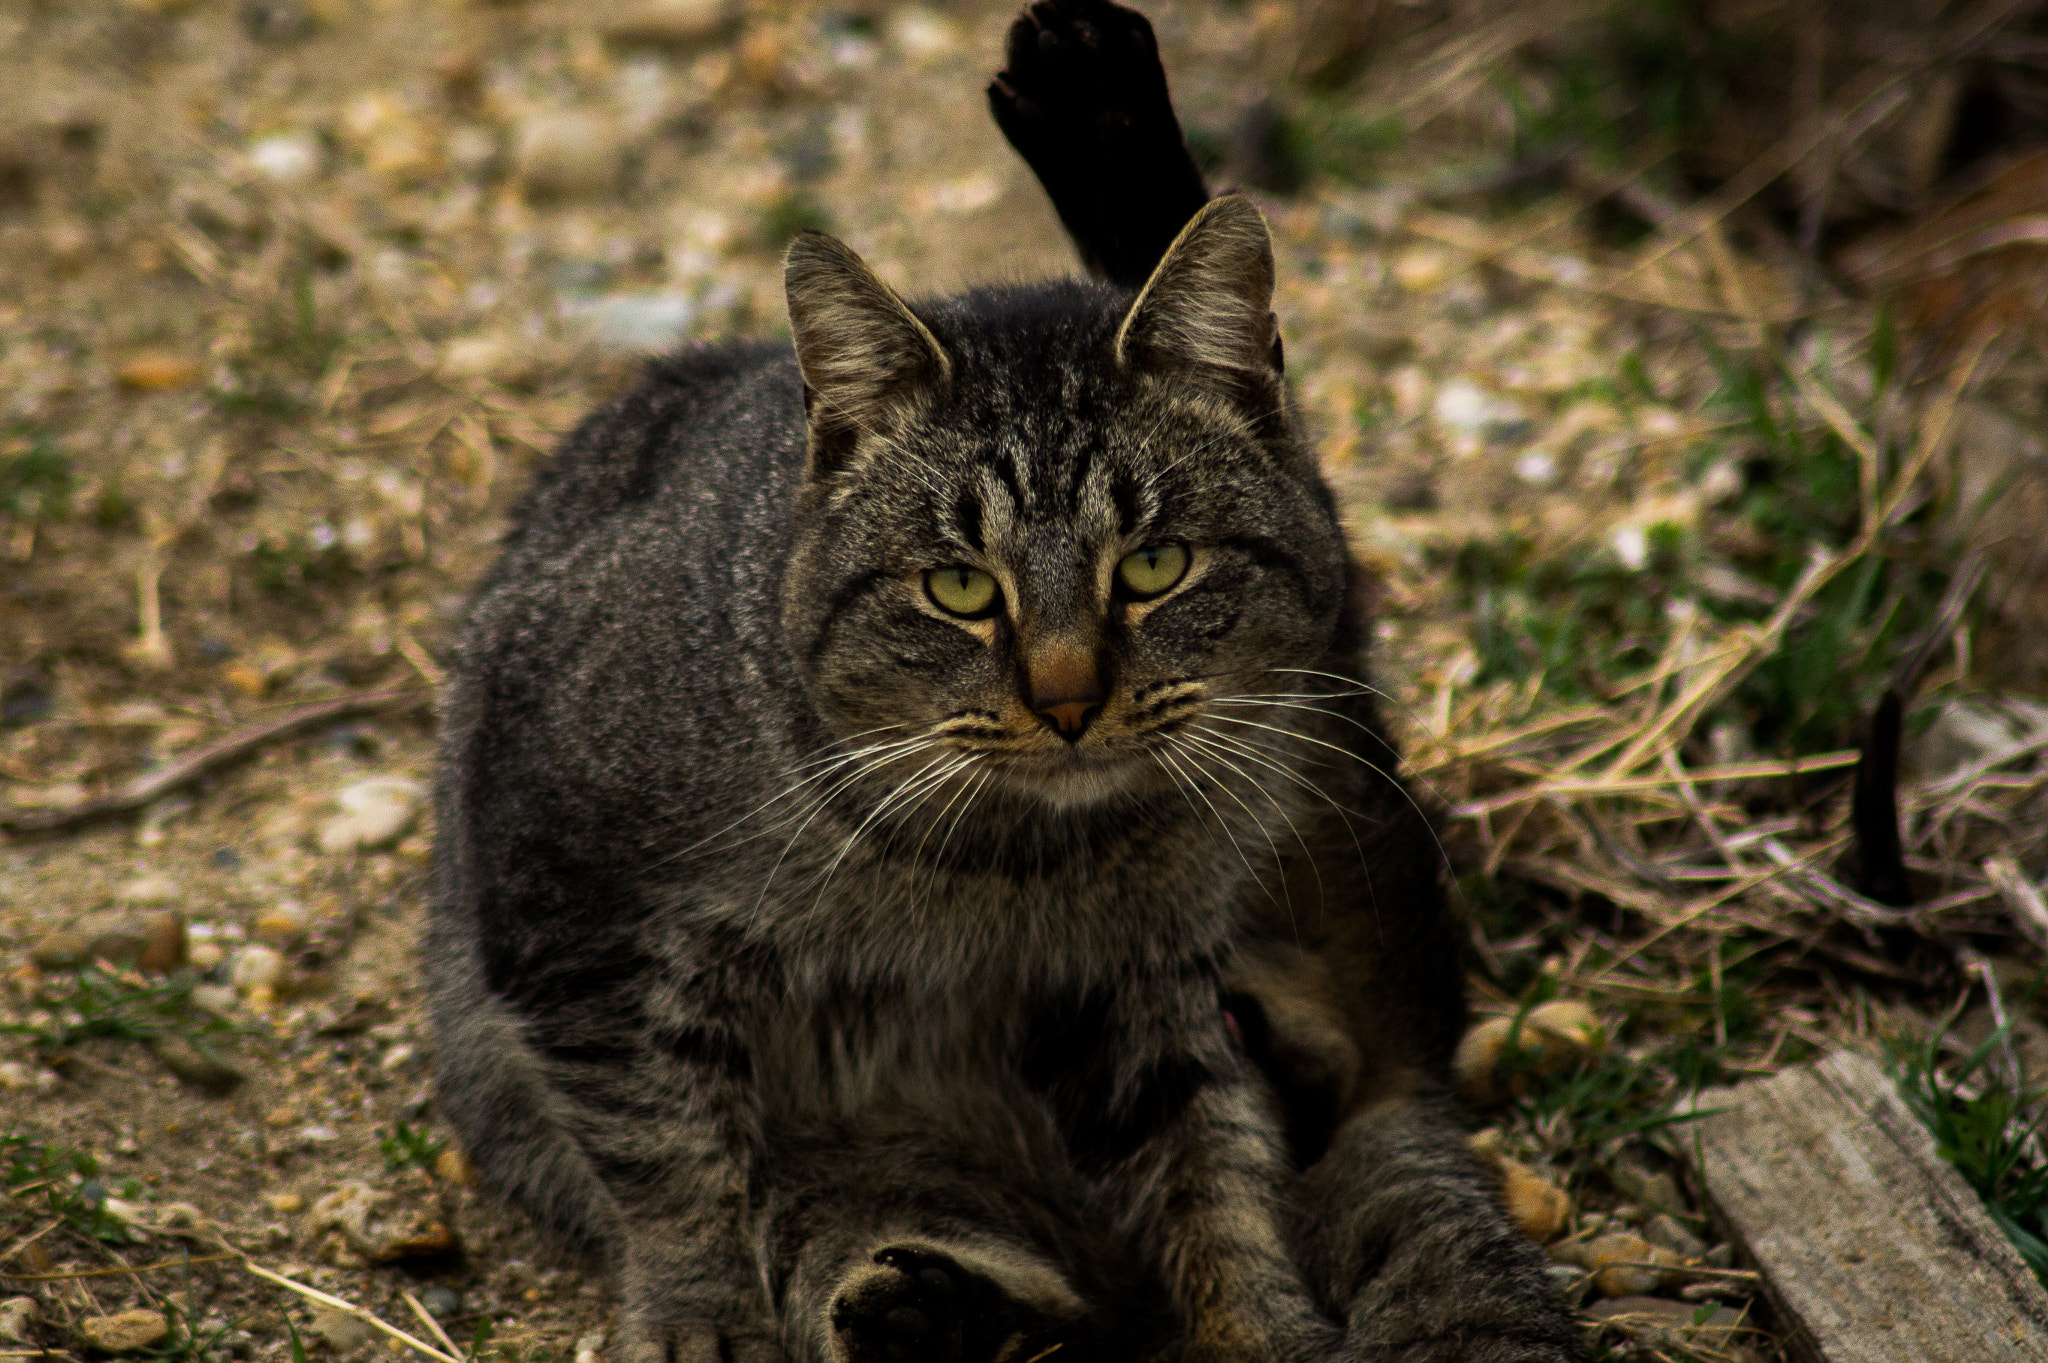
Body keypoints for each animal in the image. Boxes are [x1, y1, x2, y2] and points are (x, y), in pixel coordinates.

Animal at [428, 5, 1581, 1350]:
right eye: (959, 588)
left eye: (1154, 564)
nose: (1066, 698)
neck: (1005, 866)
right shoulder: (566, 891)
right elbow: (666, 1154)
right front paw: (698, 1310)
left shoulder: (1141, 992)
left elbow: (1212, 1193)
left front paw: (1261, 1328)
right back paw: (922, 1309)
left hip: (1335, 786)